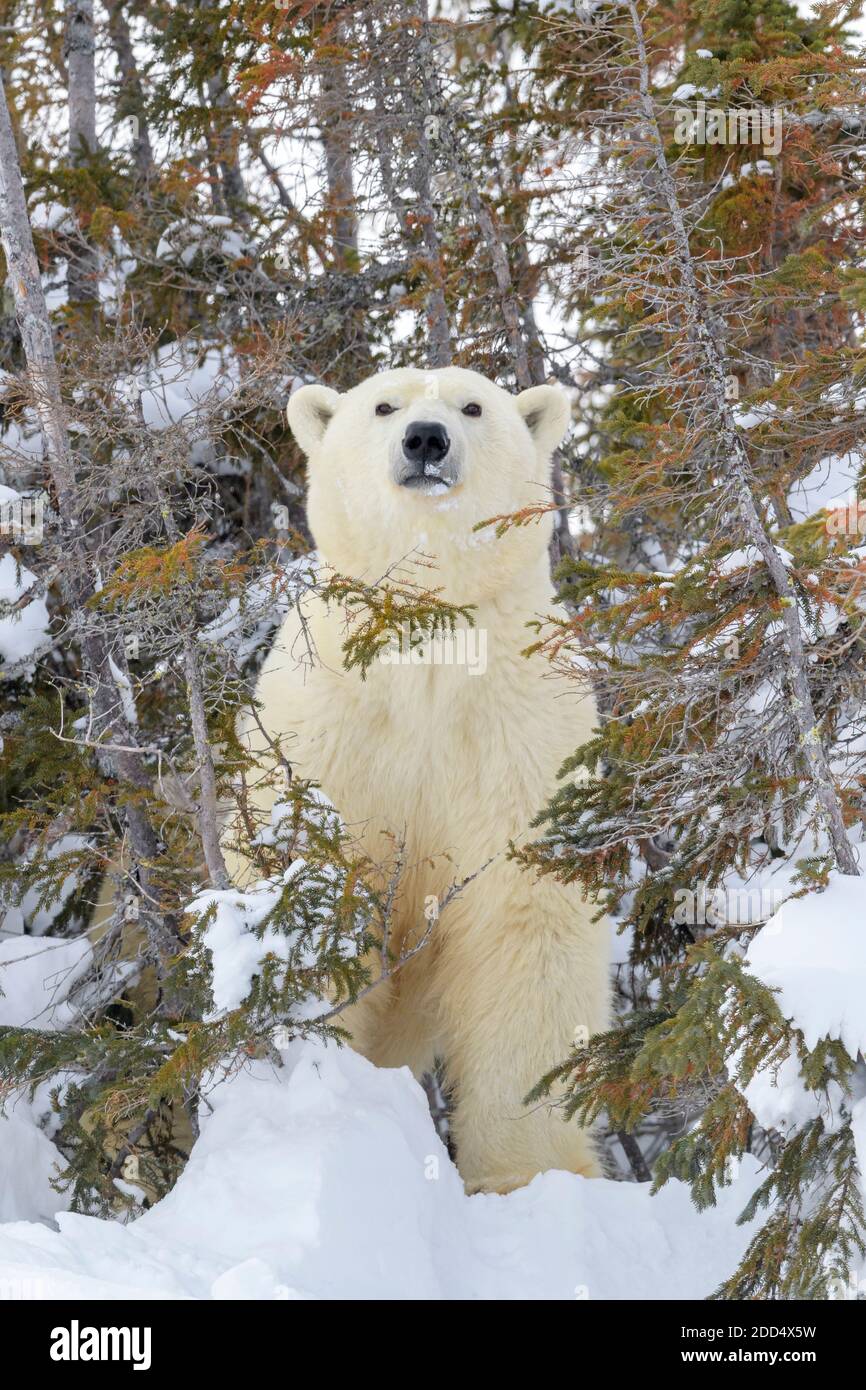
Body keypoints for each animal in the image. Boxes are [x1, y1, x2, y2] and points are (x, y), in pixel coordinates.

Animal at [230, 369, 608, 1195]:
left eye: (473, 406)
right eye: (383, 405)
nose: (426, 440)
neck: (426, 635)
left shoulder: (519, 735)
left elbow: (524, 927)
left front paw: (526, 1175)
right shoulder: (329, 734)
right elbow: (315, 889)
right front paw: (320, 1098)